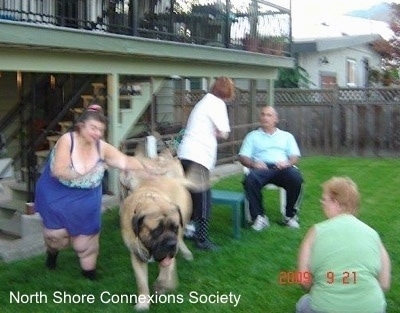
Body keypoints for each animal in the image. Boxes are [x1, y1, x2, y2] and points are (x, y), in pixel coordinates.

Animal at [119, 149, 194, 310]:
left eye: (174, 228)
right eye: (156, 231)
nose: (171, 244)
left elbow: (165, 275)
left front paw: (163, 285)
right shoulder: (137, 256)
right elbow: (141, 283)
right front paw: (143, 303)